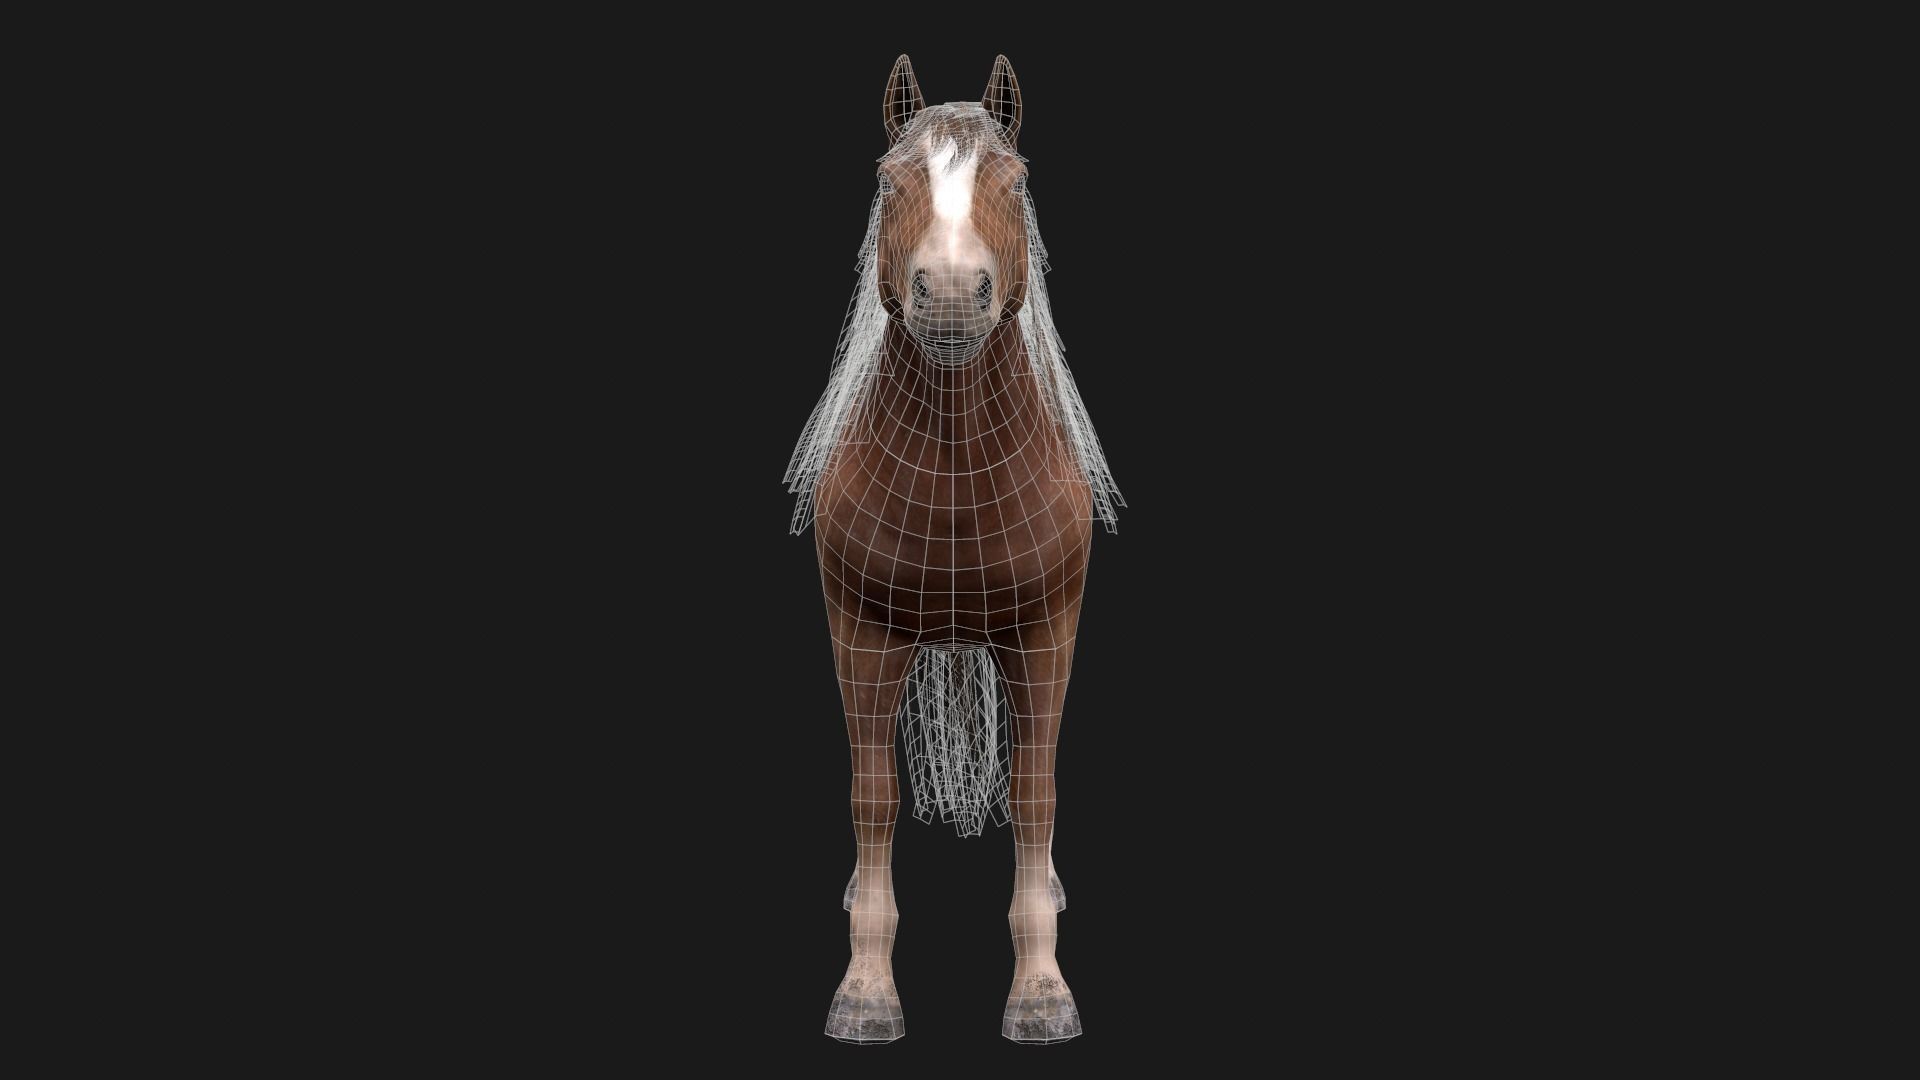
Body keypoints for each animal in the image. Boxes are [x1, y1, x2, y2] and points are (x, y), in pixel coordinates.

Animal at [784, 54, 1122, 1044]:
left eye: (1014, 182)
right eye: (890, 182)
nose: (946, 292)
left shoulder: (1047, 634)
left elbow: (1036, 796)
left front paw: (1043, 995)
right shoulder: (860, 634)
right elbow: (873, 799)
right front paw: (864, 994)